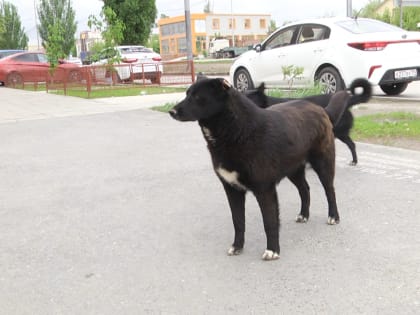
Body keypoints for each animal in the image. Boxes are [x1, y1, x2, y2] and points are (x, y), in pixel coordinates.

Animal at [170, 79, 352, 262]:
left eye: (197, 97)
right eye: (187, 94)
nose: (171, 111)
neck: (237, 130)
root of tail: (321, 109)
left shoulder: (265, 190)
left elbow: (269, 222)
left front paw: (272, 250)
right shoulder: (232, 190)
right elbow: (238, 222)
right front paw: (237, 246)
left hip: (323, 165)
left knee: (330, 191)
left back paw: (333, 216)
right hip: (293, 170)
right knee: (305, 189)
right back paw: (304, 215)